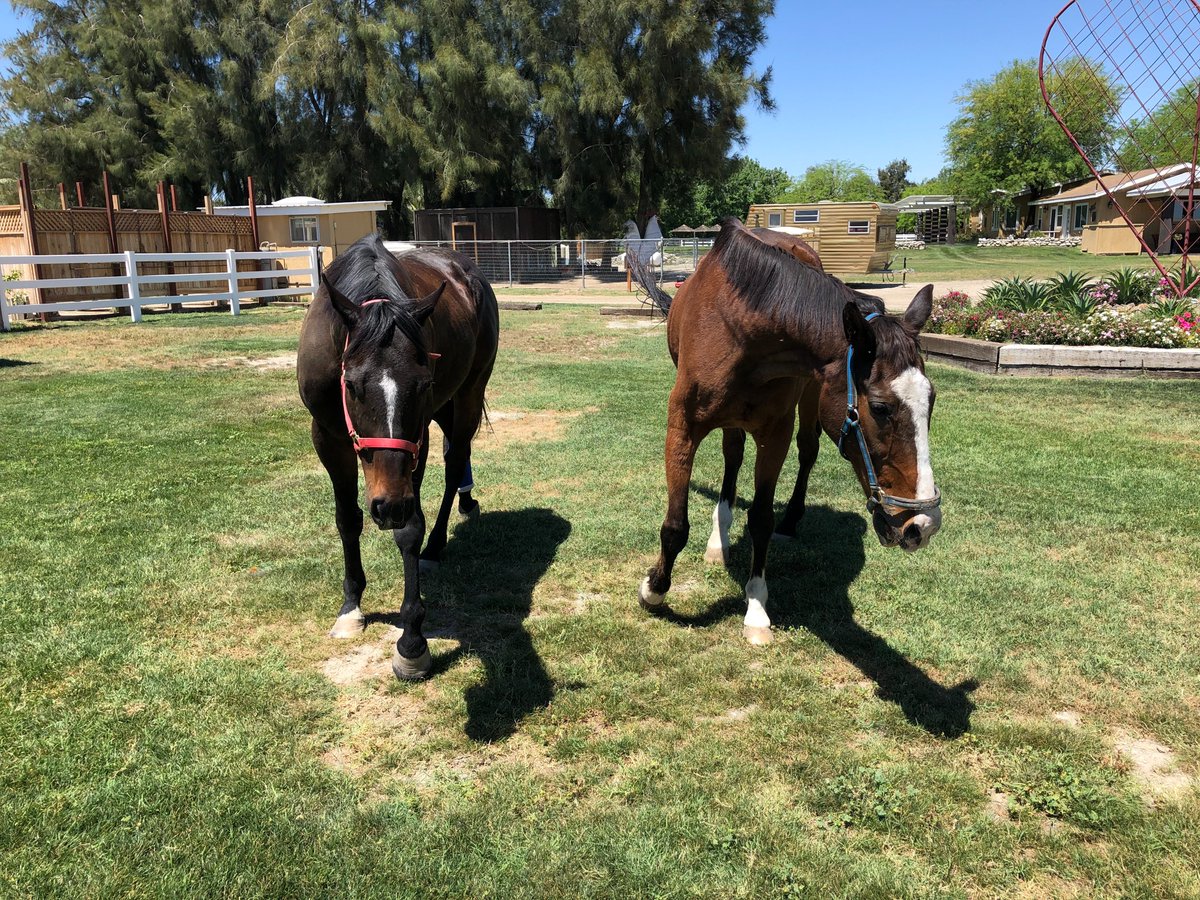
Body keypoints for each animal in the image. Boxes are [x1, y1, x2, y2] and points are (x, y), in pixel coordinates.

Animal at [297, 236, 499, 681]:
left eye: (421, 383)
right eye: (351, 385)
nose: (388, 506)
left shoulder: (416, 436)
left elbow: (410, 529)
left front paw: (412, 642)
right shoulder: (328, 437)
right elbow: (347, 519)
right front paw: (351, 607)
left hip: (468, 394)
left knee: (455, 462)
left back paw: (437, 545)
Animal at [633, 219, 940, 648]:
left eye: (932, 399)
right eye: (880, 408)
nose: (922, 525)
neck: (742, 326)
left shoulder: (774, 433)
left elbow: (761, 520)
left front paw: (756, 607)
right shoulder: (682, 427)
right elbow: (676, 525)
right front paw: (655, 589)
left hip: (809, 397)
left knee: (806, 451)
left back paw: (790, 520)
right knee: (733, 455)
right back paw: (719, 539)